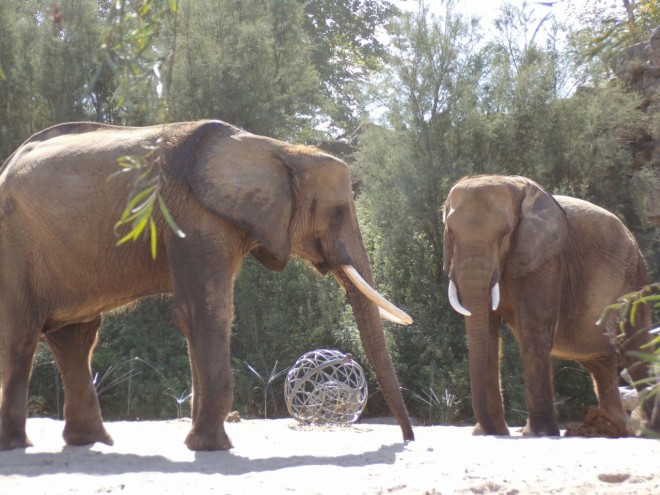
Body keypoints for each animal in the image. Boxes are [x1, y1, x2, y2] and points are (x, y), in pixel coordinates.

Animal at [0, 120, 412, 454]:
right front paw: (212, 447)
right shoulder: (194, 215)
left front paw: (200, 443)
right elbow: (204, 313)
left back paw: (91, 442)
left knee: (76, 338)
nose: (408, 439)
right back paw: (19, 444)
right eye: (338, 212)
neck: (278, 150)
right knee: (22, 335)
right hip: (15, 245)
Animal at [444, 175, 660, 438]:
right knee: (603, 368)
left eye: (505, 233)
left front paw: (538, 433)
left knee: (635, 352)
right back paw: (614, 429)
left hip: (635, 285)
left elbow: (533, 331)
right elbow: (488, 332)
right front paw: (490, 433)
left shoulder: (547, 262)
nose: (496, 432)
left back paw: (645, 432)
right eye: (450, 233)